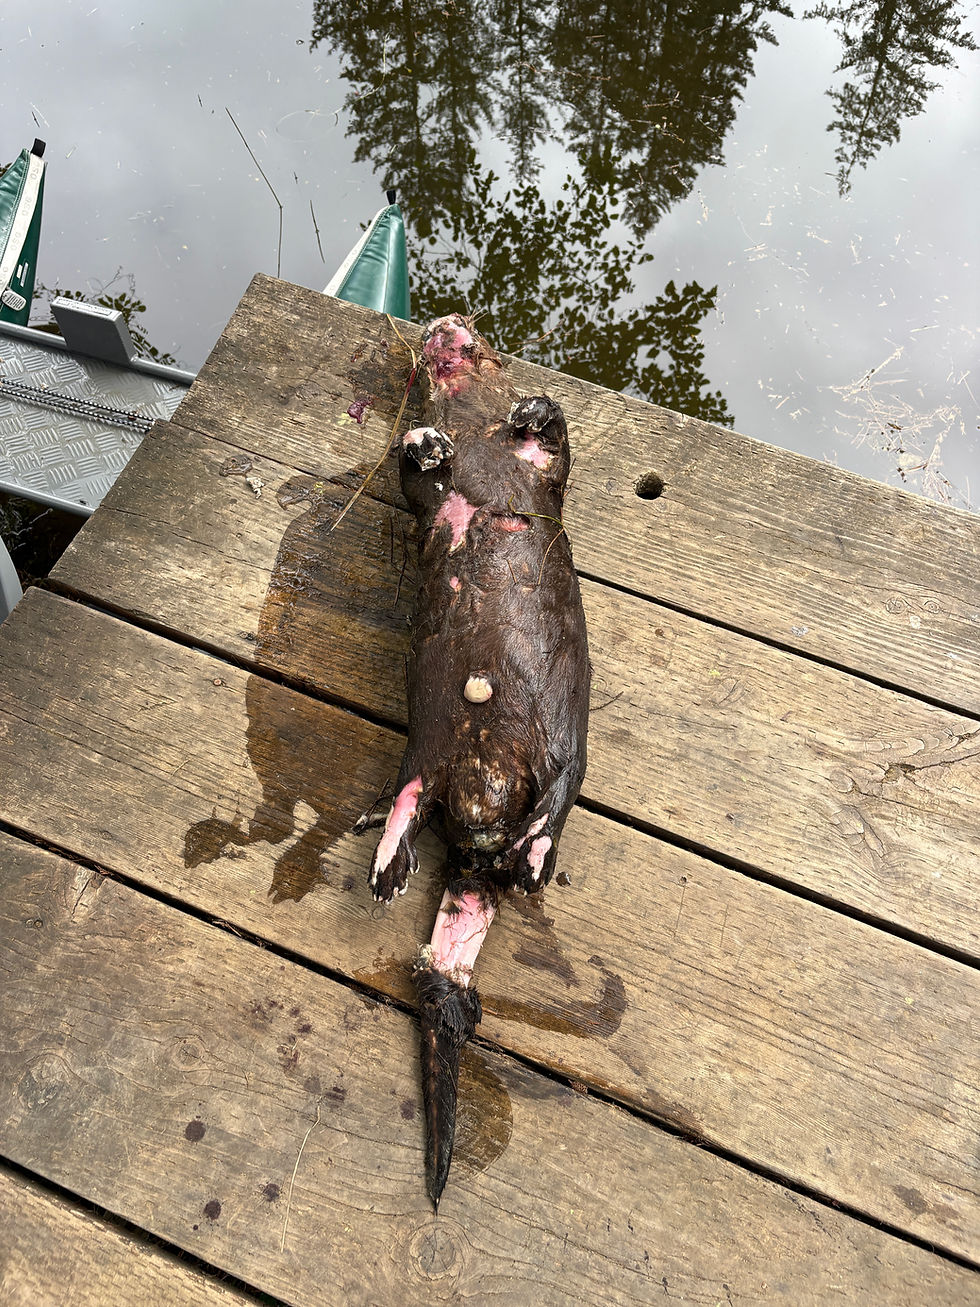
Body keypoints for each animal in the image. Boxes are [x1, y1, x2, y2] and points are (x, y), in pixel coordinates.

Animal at [357, 313, 590, 1207]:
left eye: (485, 338)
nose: (447, 324)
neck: (479, 438)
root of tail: (482, 832)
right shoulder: (429, 501)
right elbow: (411, 480)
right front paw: (423, 441)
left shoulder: (545, 480)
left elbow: (559, 449)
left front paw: (534, 406)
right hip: (425, 746)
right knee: (410, 789)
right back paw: (390, 862)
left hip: (563, 746)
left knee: (557, 796)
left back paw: (529, 853)